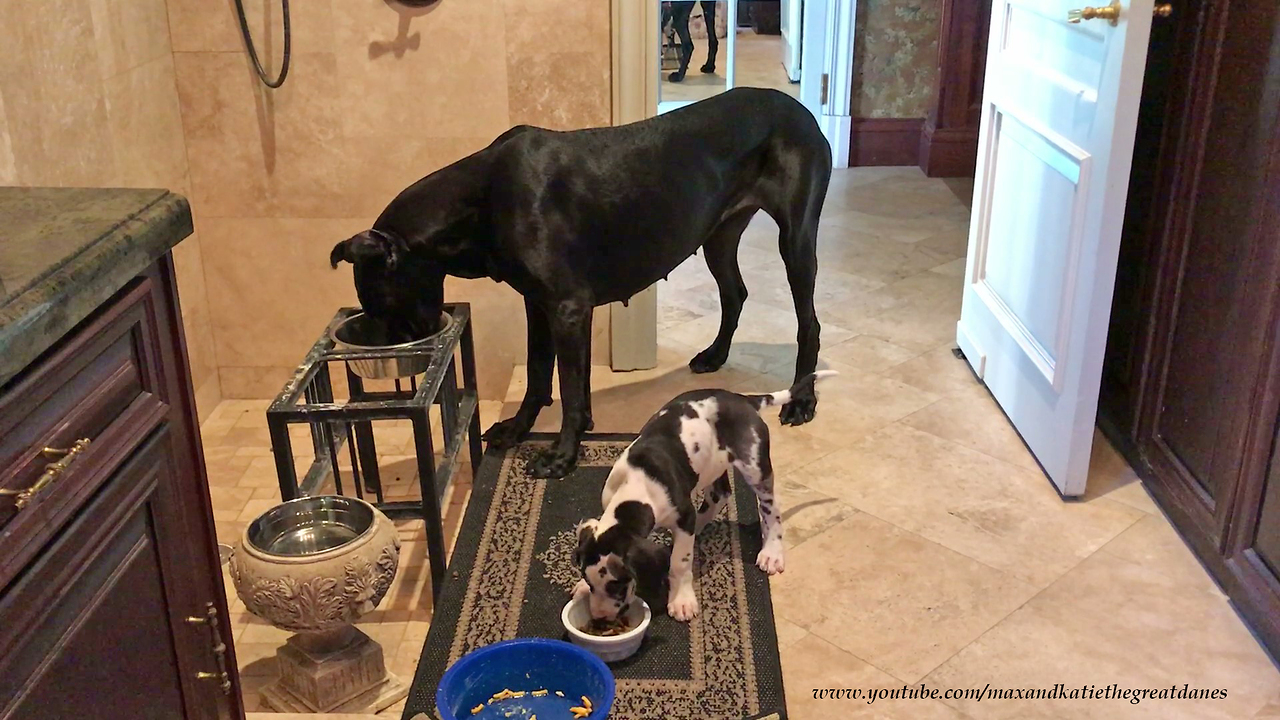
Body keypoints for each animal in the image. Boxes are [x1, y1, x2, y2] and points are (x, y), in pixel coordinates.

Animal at [573, 368, 834, 617]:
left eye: (616, 586)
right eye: (591, 582)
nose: (599, 617)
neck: (636, 487)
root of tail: (743, 399)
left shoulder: (683, 513)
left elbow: (680, 563)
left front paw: (681, 600)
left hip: (755, 467)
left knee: (771, 509)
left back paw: (771, 551)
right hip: (711, 465)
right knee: (720, 495)